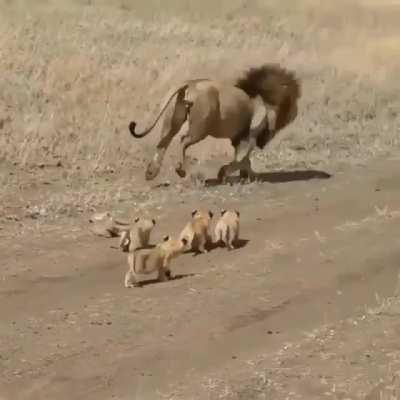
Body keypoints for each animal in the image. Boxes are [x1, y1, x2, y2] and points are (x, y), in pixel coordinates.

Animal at [128, 63, 300, 182]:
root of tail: (190, 84)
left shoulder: (239, 138)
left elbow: (243, 160)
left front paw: (246, 175)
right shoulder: (248, 136)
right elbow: (242, 159)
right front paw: (225, 173)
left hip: (172, 120)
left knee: (163, 142)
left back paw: (151, 172)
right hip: (201, 127)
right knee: (183, 140)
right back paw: (180, 169)